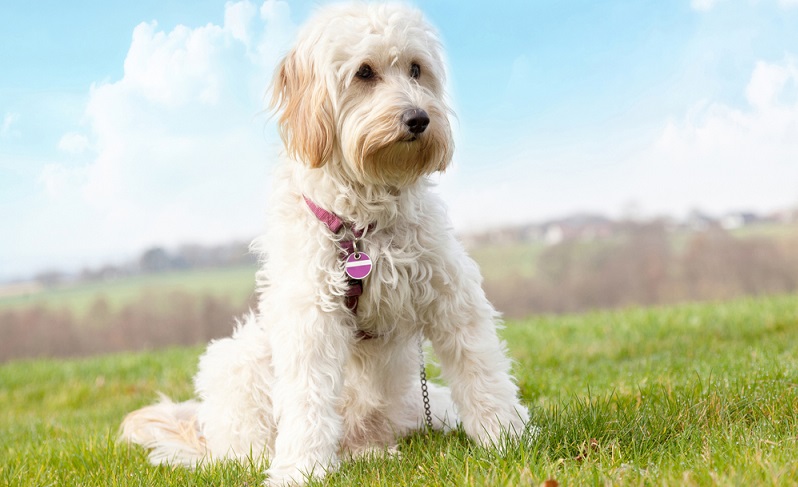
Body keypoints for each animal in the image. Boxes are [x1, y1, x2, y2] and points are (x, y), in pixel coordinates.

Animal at [120, 2, 532, 484]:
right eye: (364, 72)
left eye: (416, 69)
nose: (419, 119)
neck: (363, 222)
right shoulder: (310, 317)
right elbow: (307, 398)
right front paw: (302, 469)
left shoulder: (451, 294)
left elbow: (481, 369)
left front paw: (508, 435)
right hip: (238, 361)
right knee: (251, 451)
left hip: (419, 403)